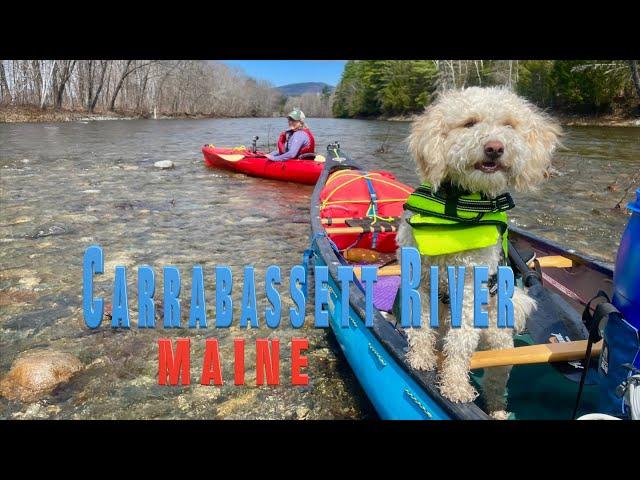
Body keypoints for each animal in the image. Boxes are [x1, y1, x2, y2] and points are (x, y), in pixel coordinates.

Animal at [398, 87, 564, 420]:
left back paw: (498, 411)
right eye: (469, 123)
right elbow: (419, 325)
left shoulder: (469, 290)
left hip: (500, 343)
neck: (459, 207)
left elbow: (460, 344)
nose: (495, 148)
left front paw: (455, 386)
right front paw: (421, 357)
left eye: (509, 125)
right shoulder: (418, 278)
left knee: (495, 384)